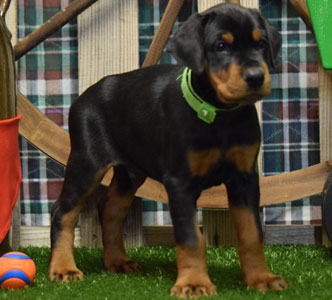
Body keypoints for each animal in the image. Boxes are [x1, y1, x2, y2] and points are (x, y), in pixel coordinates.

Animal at [49, 3, 288, 298]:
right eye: (220, 45)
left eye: (261, 43)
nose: (256, 77)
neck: (219, 117)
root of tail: (81, 98)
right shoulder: (180, 182)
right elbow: (190, 237)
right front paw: (194, 283)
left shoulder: (245, 179)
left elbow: (252, 233)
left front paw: (260, 278)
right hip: (87, 163)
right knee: (63, 211)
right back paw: (63, 268)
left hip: (131, 173)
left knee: (111, 209)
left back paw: (117, 261)